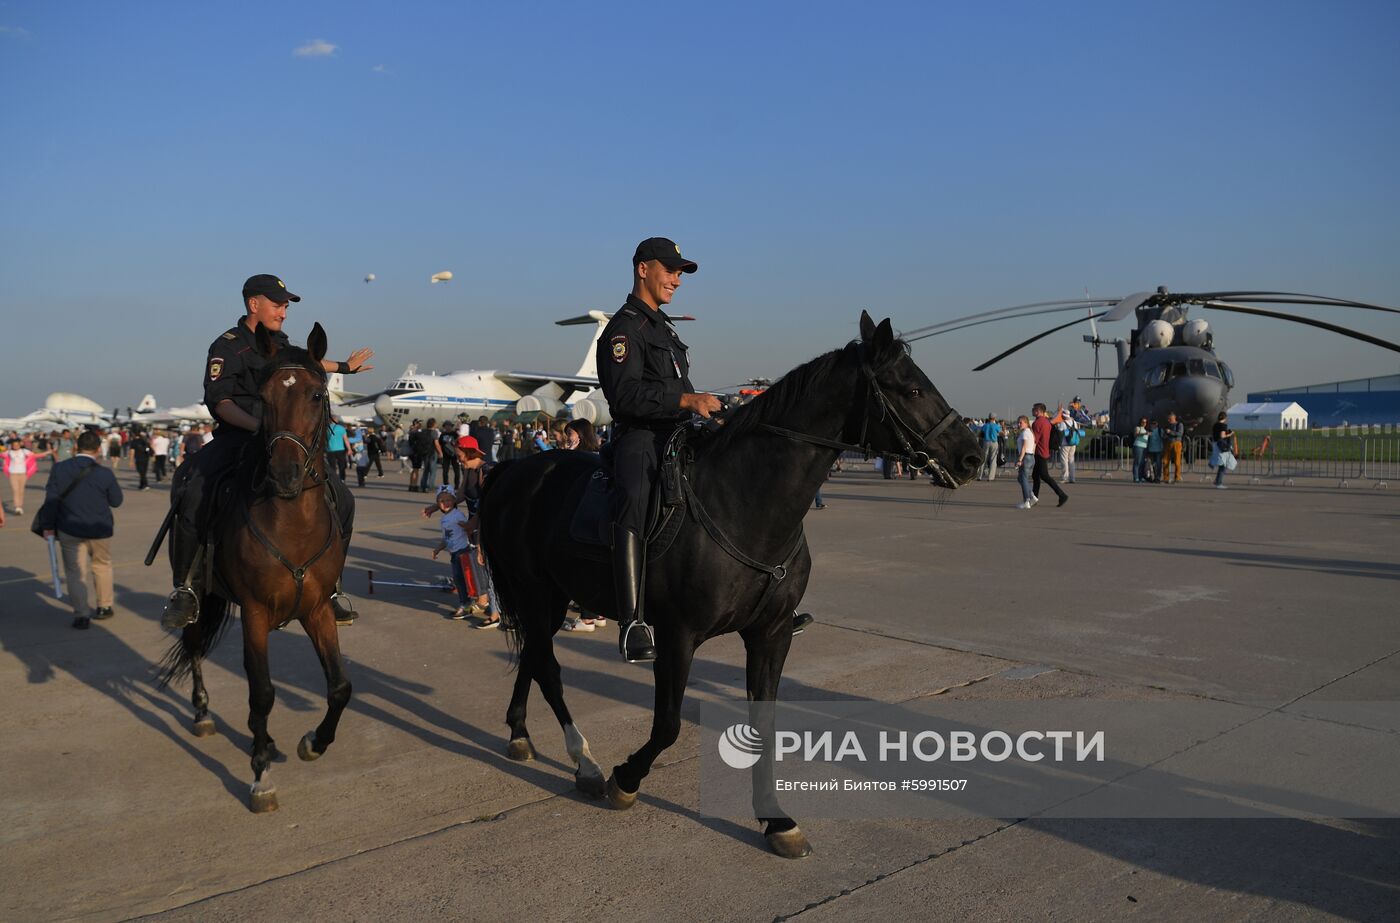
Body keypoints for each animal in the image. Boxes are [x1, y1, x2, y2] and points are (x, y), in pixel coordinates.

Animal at [159, 320, 352, 812]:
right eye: (263, 398)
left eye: (317, 395)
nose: (284, 474)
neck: (292, 522)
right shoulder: (256, 612)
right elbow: (262, 693)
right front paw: (260, 776)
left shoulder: (317, 609)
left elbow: (340, 687)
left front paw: (313, 743)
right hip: (200, 590)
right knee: (193, 644)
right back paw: (203, 713)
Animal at [481, 312, 985, 857]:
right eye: (911, 388)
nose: (972, 457)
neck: (743, 502)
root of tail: (515, 468)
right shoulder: (677, 637)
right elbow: (668, 725)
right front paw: (626, 779)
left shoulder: (771, 633)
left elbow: (763, 724)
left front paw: (776, 821)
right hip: (537, 594)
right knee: (548, 667)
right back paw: (587, 762)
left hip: (548, 600)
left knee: (533, 656)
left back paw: (520, 733)